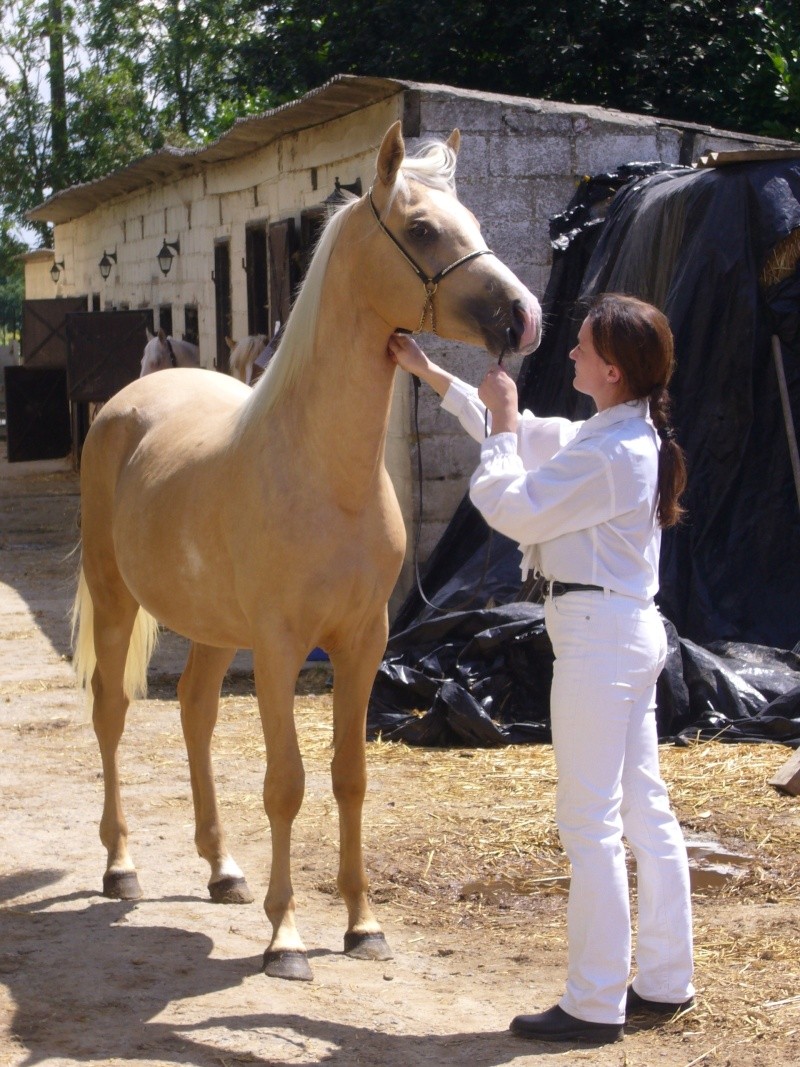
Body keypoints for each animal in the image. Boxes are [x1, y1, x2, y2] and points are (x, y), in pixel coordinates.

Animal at [72, 122, 541, 981]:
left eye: (474, 220)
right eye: (423, 228)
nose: (523, 317)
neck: (327, 474)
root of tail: (128, 403)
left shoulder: (362, 642)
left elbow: (348, 778)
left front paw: (362, 925)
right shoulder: (282, 647)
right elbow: (285, 783)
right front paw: (285, 938)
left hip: (215, 629)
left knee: (193, 710)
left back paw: (223, 870)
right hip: (118, 597)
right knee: (112, 713)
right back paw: (121, 866)